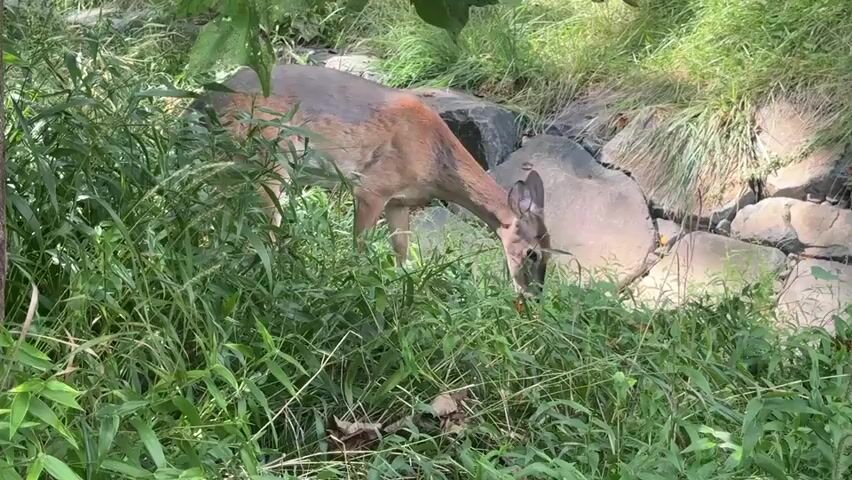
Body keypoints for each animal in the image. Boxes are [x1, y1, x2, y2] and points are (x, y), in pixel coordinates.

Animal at [187, 63, 550, 297]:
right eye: (533, 253)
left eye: (549, 252)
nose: (534, 296)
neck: (435, 159)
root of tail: (202, 103)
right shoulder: (371, 187)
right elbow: (359, 250)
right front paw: (356, 287)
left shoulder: (401, 202)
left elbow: (403, 255)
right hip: (268, 157)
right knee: (261, 227)